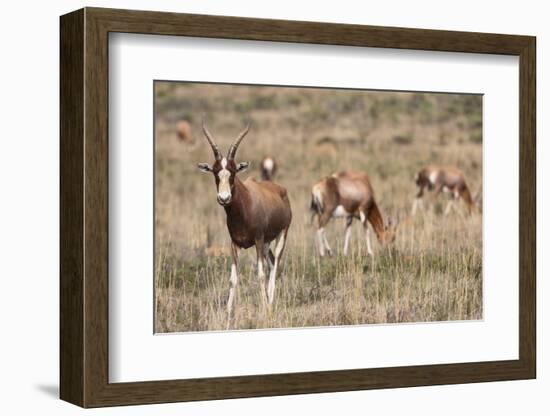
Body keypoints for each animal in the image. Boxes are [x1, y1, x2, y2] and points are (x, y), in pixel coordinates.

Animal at [198, 120, 294, 316]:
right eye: (215, 172)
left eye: (233, 171)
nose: (224, 198)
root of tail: (280, 189)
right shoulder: (234, 244)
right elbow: (232, 279)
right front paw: (228, 312)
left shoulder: (257, 240)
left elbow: (261, 275)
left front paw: (264, 309)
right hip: (266, 243)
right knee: (271, 263)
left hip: (280, 235)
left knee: (275, 265)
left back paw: (270, 303)